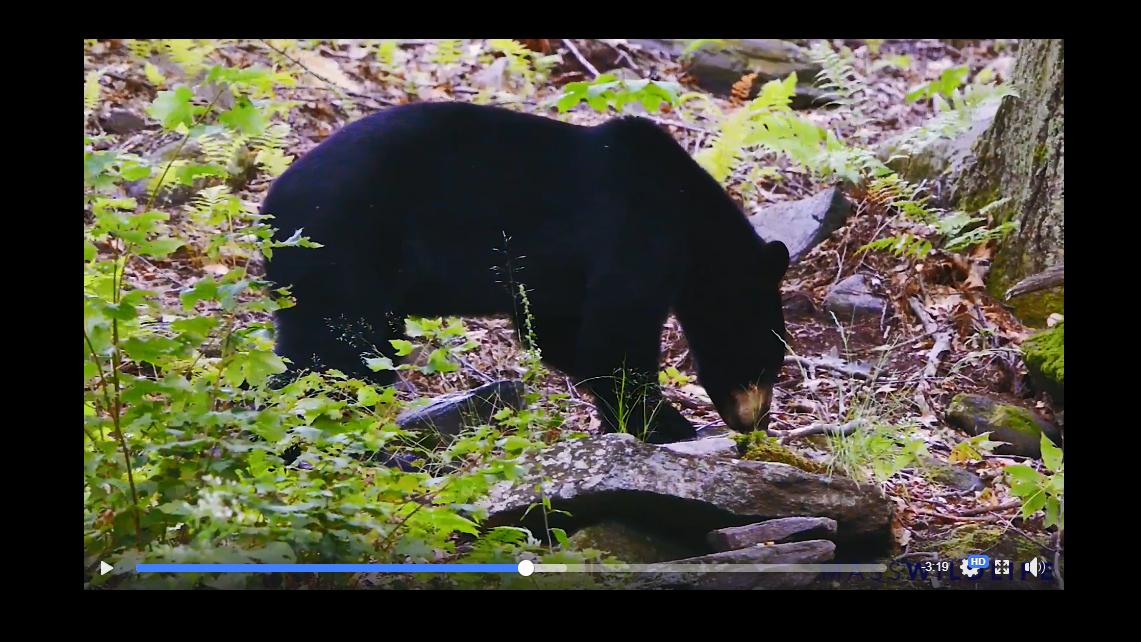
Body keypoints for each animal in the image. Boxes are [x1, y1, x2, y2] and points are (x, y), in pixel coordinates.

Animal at [262, 103, 789, 444]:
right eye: (771, 361)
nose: (757, 422)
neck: (689, 214)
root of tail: (269, 213)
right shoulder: (638, 227)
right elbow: (616, 332)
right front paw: (671, 425)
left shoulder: (559, 280)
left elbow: (563, 334)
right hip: (342, 250)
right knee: (338, 354)